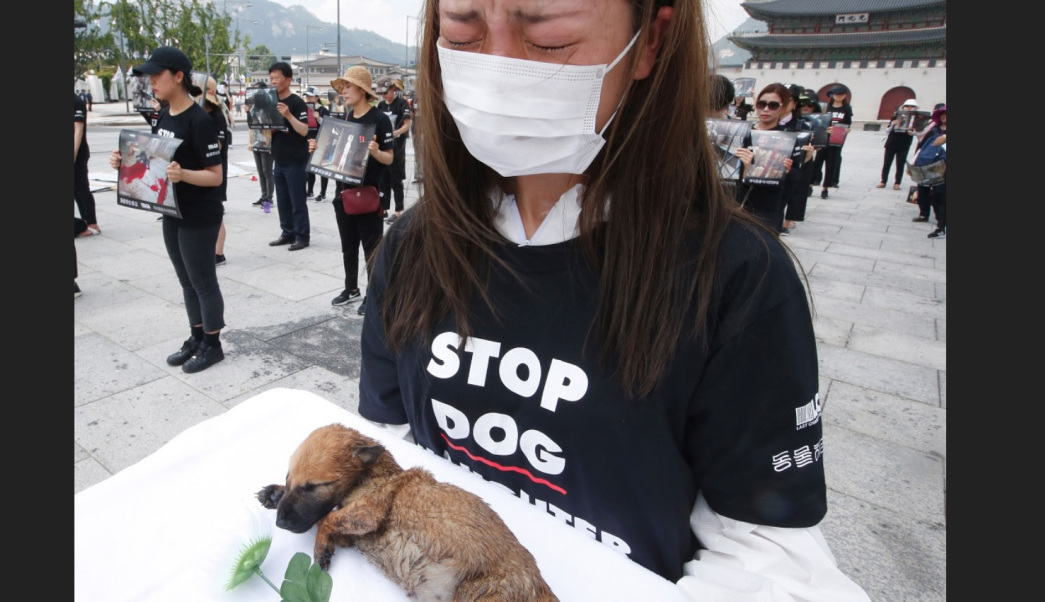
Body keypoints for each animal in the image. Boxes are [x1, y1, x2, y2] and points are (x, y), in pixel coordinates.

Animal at [256, 426, 560, 597]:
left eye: (315, 486)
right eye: (287, 478)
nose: (280, 523)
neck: (378, 475)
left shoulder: (368, 513)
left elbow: (326, 518)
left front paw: (320, 550)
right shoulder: (352, 532)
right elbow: (325, 517)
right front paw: (274, 493)